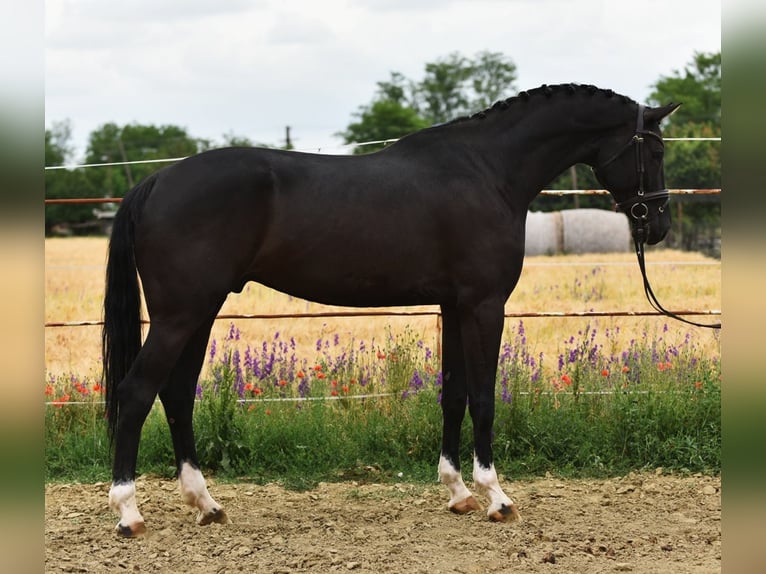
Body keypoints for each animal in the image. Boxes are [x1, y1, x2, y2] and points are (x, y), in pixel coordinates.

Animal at [103, 83, 679, 536]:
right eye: (653, 151)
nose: (657, 226)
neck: (487, 170)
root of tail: (155, 182)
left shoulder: (454, 304)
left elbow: (454, 395)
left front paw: (457, 493)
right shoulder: (485, 304)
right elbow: (484, 397)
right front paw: (496, 498)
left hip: (198, 313)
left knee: (177, 395)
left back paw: (206, 504)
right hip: (180, 316)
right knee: (136, 393)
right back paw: (129, 514)